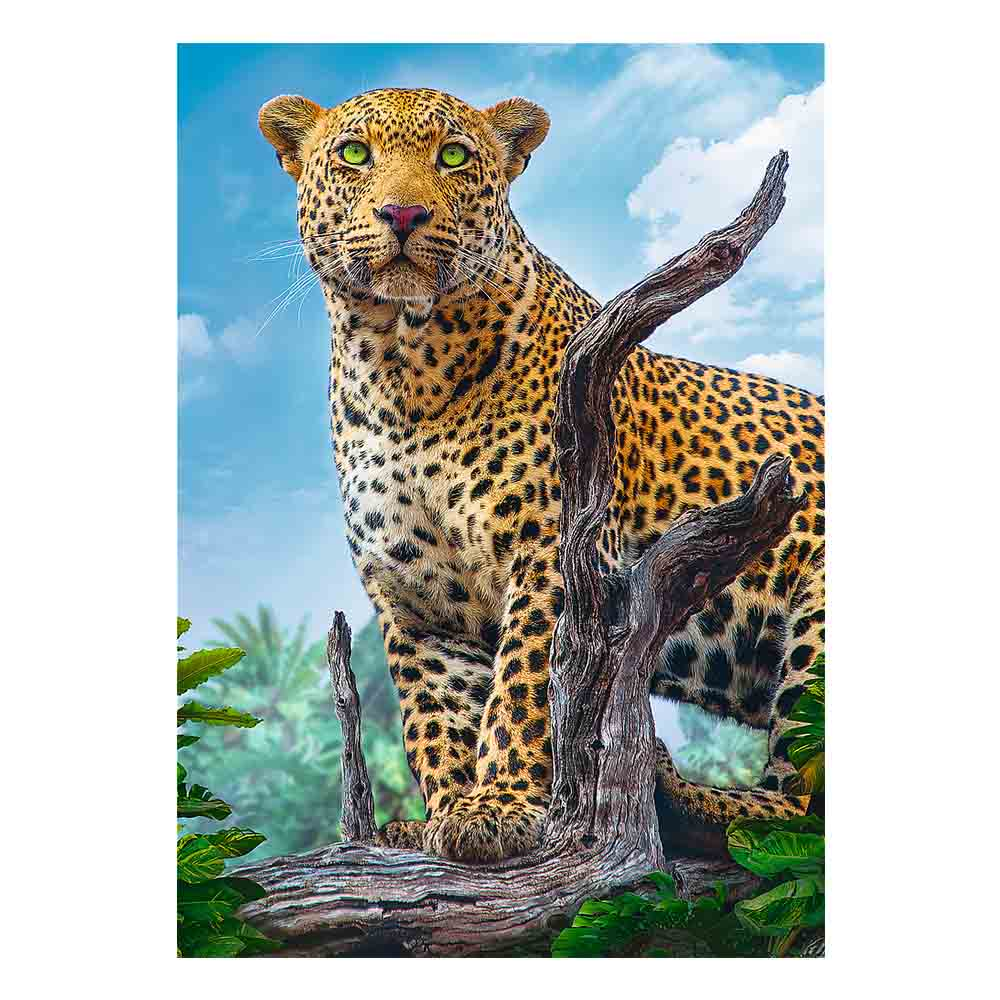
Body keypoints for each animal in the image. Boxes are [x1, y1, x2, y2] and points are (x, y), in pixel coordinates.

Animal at [258, 87, 825, 864]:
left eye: (453, 156)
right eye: (353, 154)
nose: (402, 214)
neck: (400, 365)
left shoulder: (555, 551)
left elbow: (527, 687)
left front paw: (500, 805)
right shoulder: (414, 599)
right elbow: (436, 716)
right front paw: (441, 815)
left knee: (801, 804)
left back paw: (680, 794)